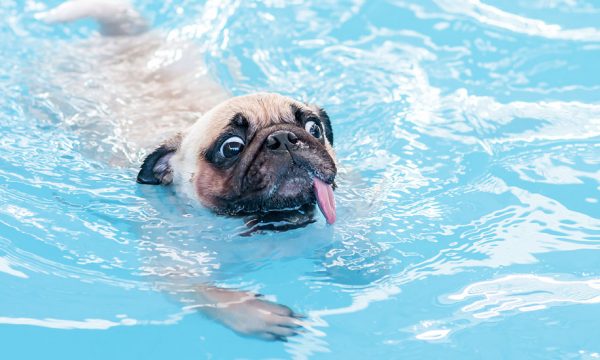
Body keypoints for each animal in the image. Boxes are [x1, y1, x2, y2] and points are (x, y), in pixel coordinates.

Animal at [38, 0, 338, 342]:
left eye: (314, 128)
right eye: (231, 147)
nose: (283, 138)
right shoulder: (175, 272)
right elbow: (210, 294)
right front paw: (256, 313)